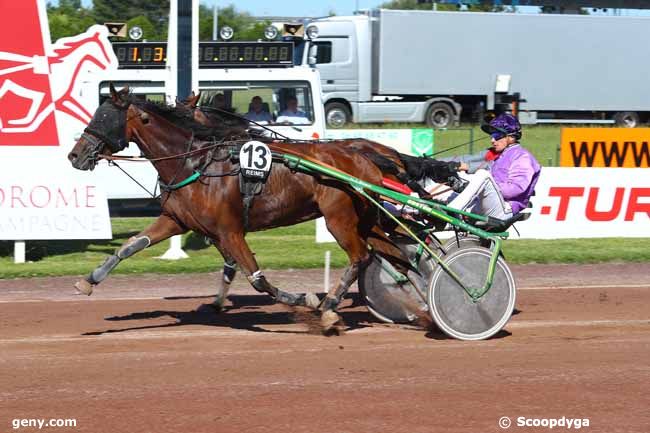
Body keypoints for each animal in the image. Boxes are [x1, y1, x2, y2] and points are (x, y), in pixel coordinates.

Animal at [67, 86, 420, 332]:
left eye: (103, 118)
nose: (75, 155)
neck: (197, 163)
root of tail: (365, 156)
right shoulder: (176, 220)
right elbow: (129, 246)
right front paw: (88, 280)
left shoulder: (230, 230)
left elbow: (257, 278)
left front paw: (304, 300)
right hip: (367, 219)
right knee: (399, 258)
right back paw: (418, 306)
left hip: (339, 219)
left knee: (361, 257)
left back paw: (331, 305)